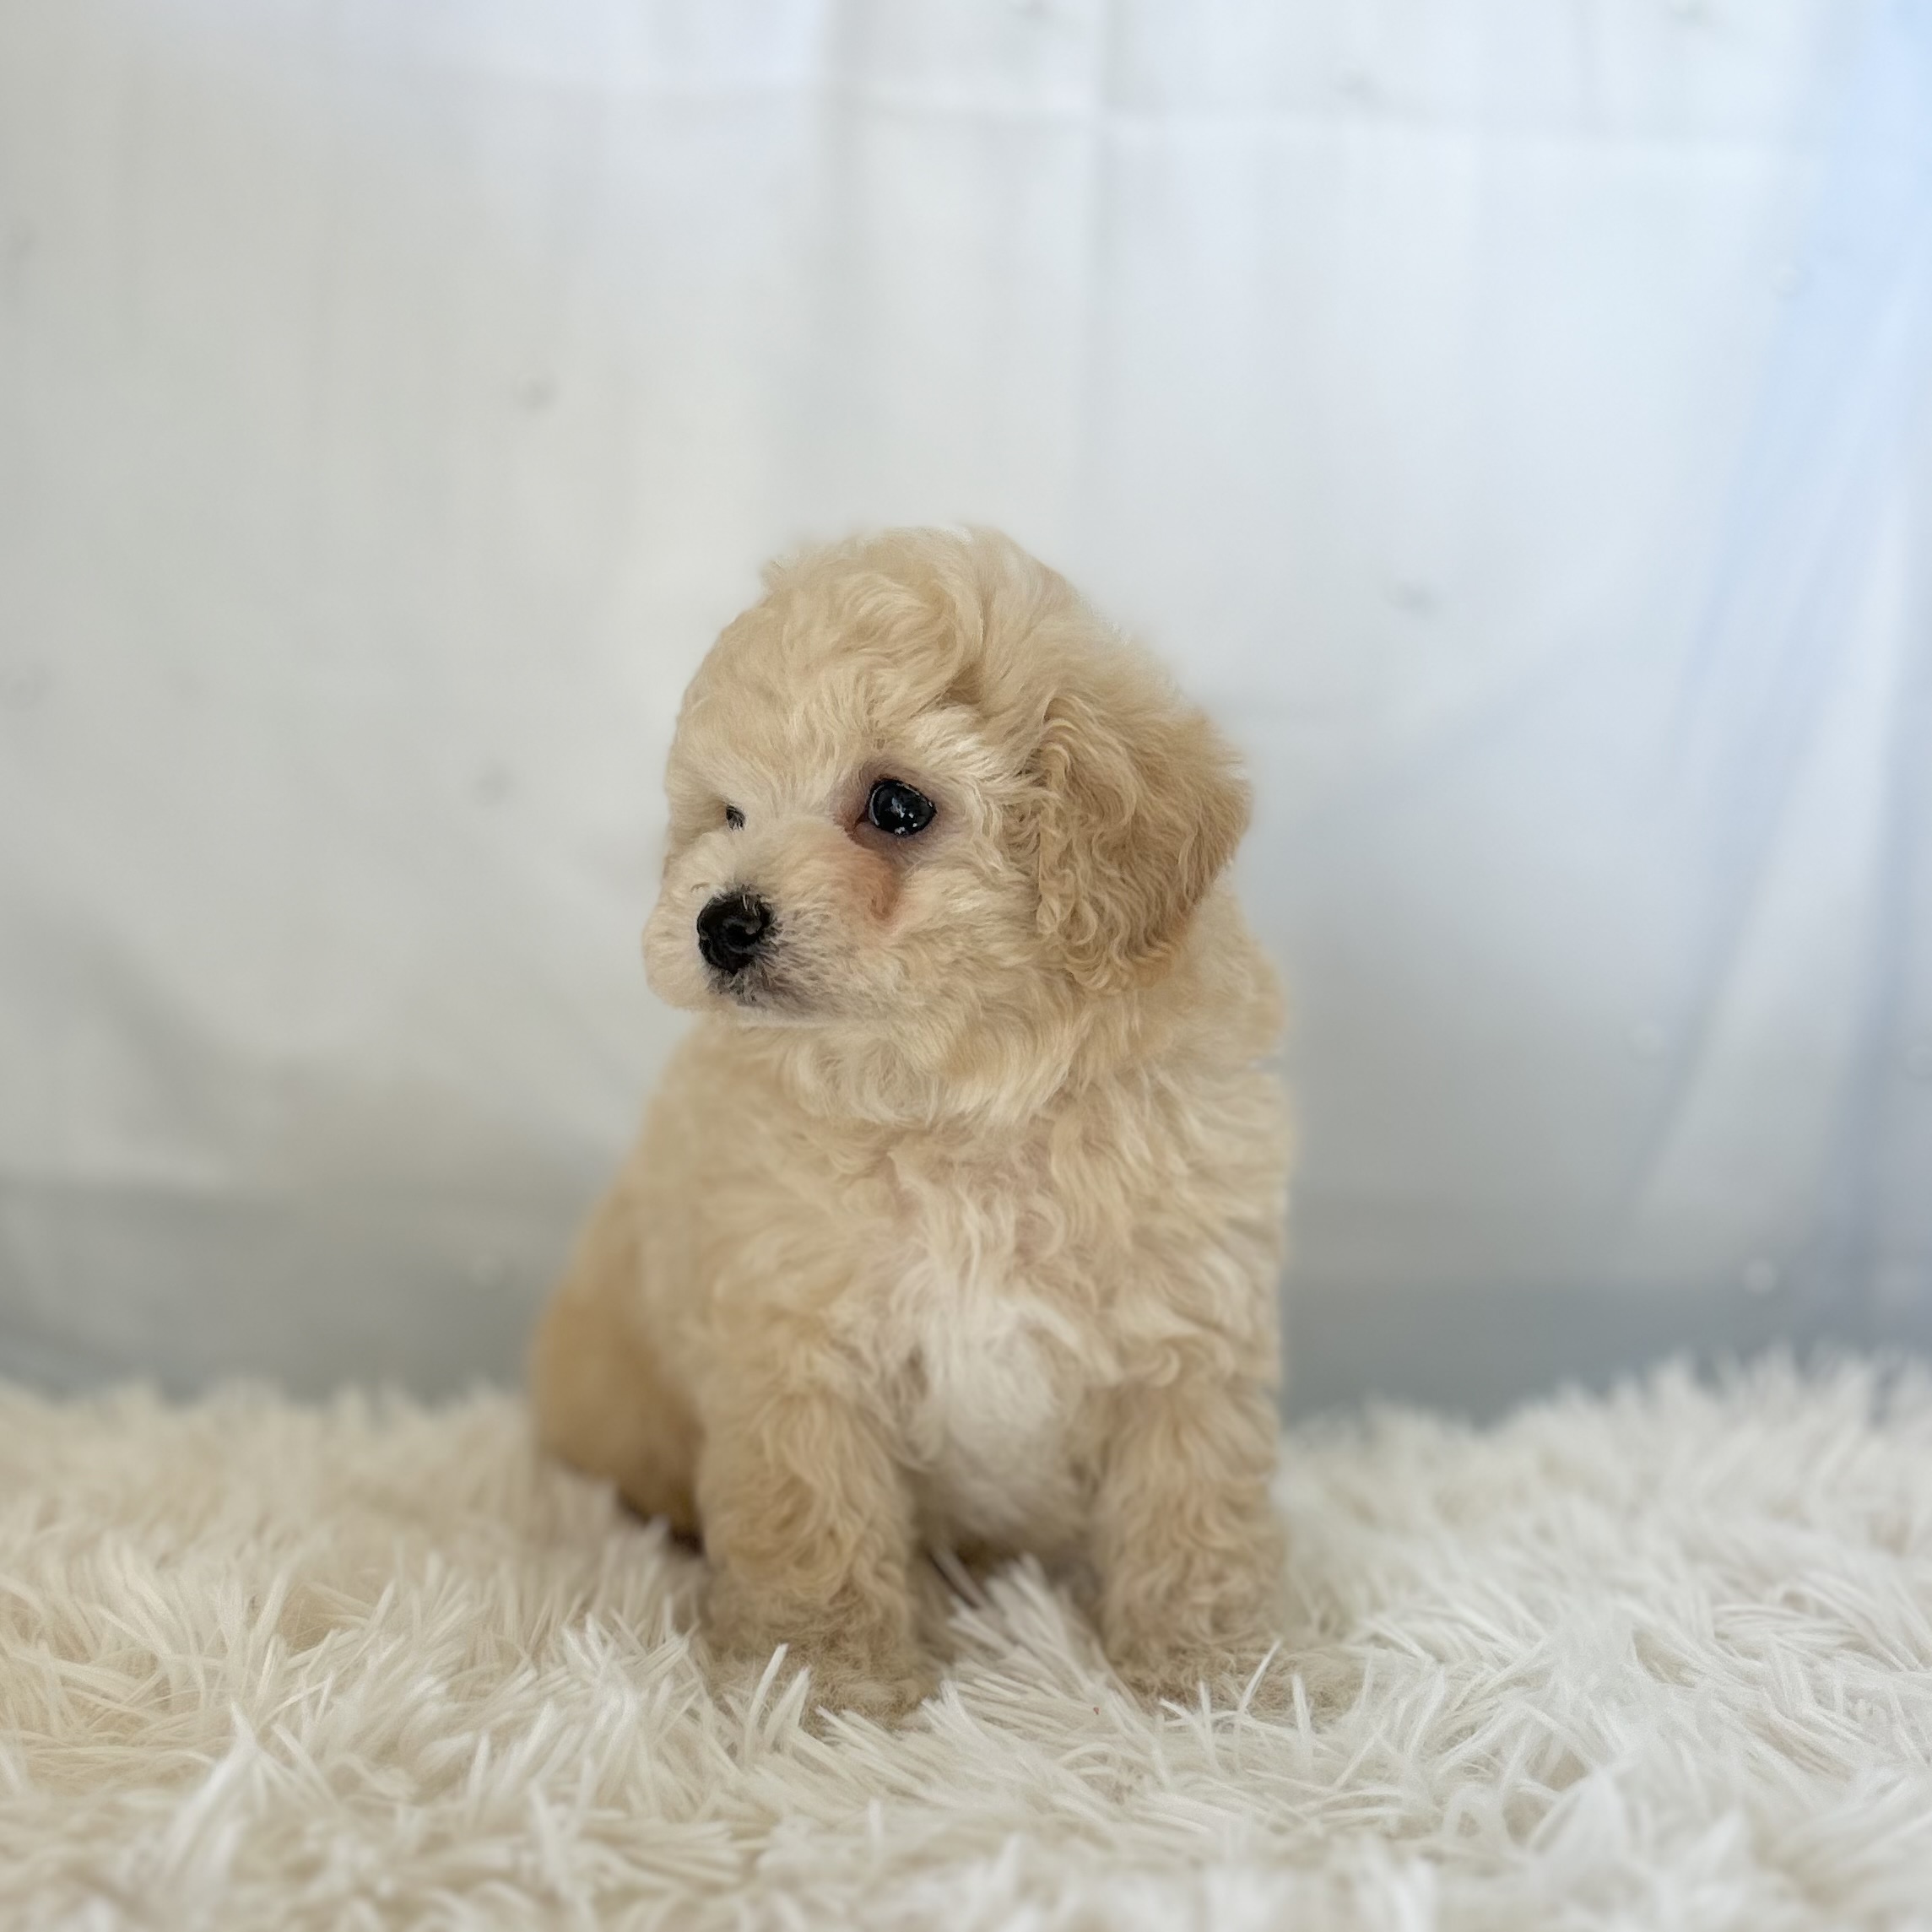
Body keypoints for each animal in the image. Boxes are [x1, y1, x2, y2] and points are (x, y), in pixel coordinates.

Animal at [532, 528, 1292, 1719]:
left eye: (898, 807)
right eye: (730, 814)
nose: (721, 921)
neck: (952, 1097)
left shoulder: (1187, 1330)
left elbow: (1192, 1506)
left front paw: (1214, 1670)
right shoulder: (797, 1342)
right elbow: (812, 1517)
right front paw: (820, 1678)